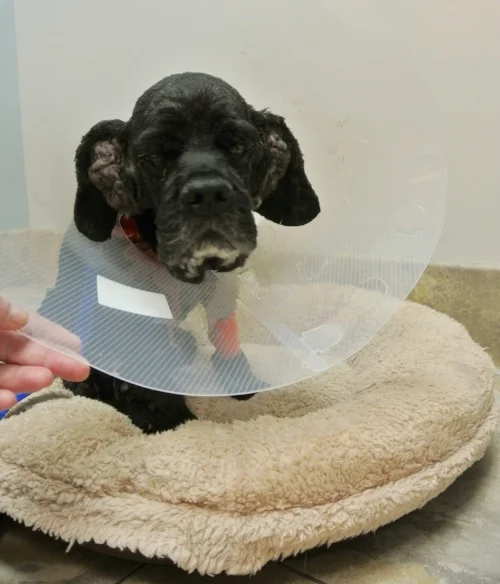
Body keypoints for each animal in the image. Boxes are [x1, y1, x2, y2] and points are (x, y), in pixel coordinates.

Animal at [60, 72, 320, 433]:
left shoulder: (221, 299)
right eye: (153, 156)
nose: (207, 193)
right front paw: (172, 422)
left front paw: (241, 384)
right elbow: (151, 378)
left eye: (240, 147)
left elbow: (226, 339)